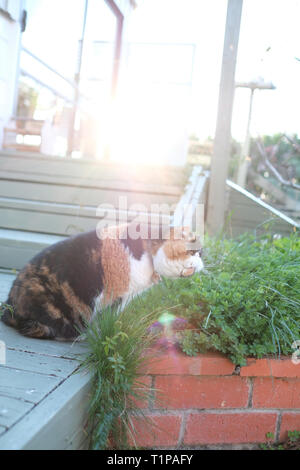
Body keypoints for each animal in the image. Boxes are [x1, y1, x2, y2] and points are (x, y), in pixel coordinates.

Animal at [1, 224, 204, 342]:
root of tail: (9, 306)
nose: (201, 261)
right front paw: (107, 334)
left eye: (200, 253)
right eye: (193, 252)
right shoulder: (115, 294)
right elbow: (108, 318)